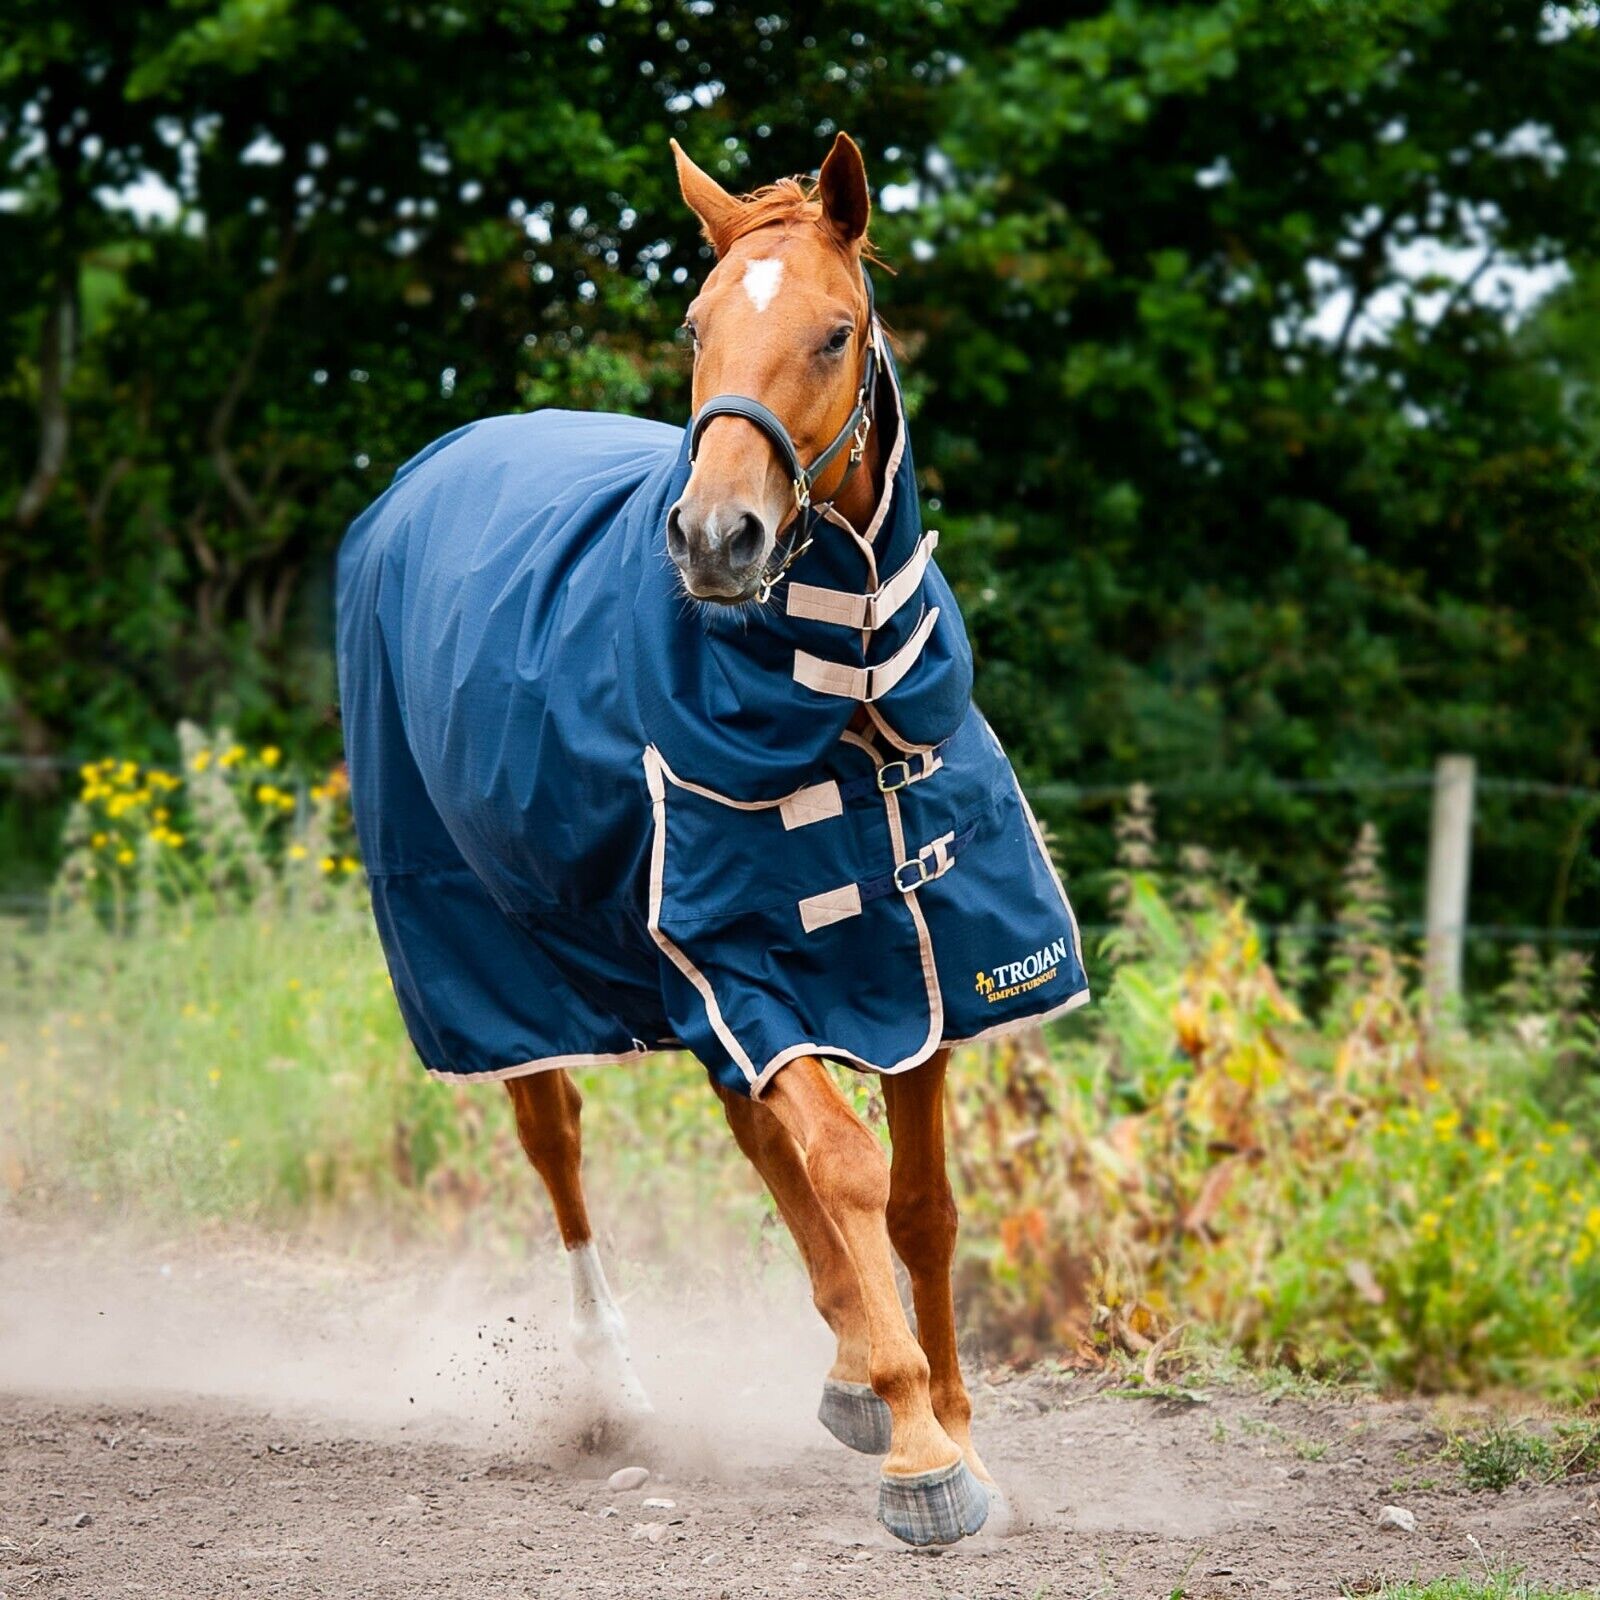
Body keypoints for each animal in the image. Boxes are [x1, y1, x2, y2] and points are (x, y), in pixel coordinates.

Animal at [336, 132, 1089, 1547]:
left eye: (835, 331)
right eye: (695, 325)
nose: (713, 537)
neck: (843, 698)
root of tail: (428, 471)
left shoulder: (922, 969)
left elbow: (918, 1202)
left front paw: (946, 1417)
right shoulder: (734, 951)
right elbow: (844, 1167)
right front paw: (923, 1453)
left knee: (752, 1128)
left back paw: (842, 1363)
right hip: (497, 955)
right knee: (561, 1141)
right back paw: (617, 1385)